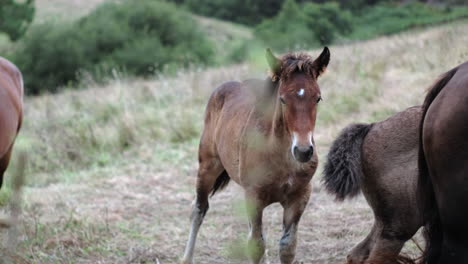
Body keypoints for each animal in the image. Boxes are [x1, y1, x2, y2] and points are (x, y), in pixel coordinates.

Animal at [179, 47, 330, 264]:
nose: (303, 151)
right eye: (282, 99)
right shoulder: (254, 196)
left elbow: (287, 246)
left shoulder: (299, 196)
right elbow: (257, 246)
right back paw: (186, 257)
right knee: (199, 209)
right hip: (207, 167)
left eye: (317, 98)